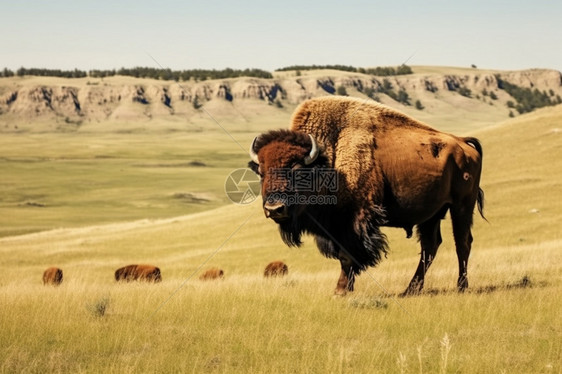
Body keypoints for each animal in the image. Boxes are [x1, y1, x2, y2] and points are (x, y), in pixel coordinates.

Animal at [247, 95, 484, 296]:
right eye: (261, 172)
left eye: (297, 171)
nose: (274, 209)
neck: (330, 159)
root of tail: (462, 142)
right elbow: (345, 257)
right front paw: (345, 289)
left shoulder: (354, 222)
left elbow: (347, 257)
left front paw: (340, 291)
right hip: (432, 214)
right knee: (430, 247)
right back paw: (411, 290)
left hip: (462, 206)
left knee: (462, 242)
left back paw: (461, 287)